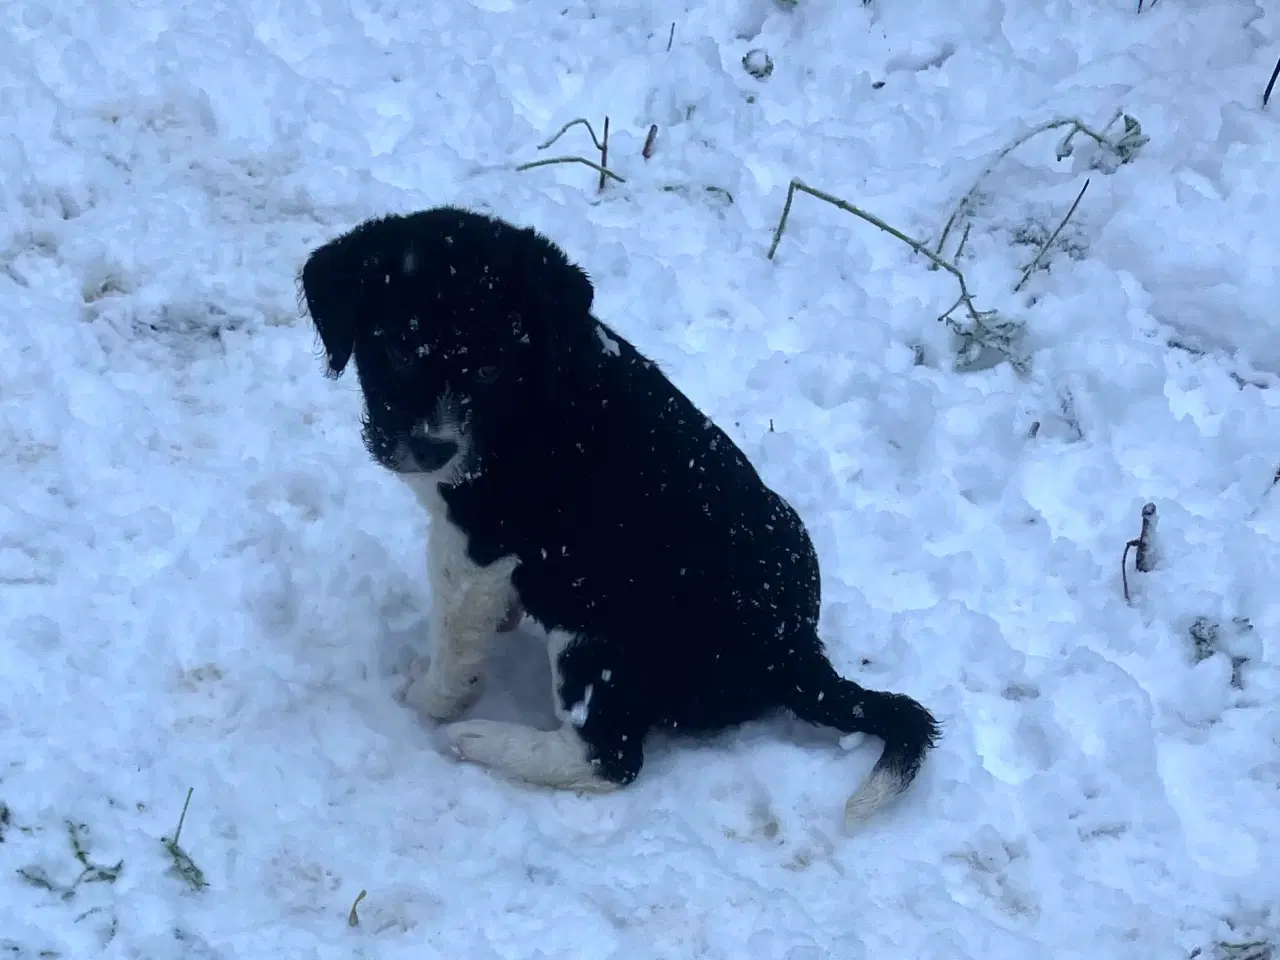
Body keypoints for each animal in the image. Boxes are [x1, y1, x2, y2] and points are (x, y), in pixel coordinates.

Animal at [299, 204, 942, 829]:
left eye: (489, 370)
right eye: (397, 351)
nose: (432, 449)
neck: (531, 395)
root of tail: (799, 657)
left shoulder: (477, 544)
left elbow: (455, 643)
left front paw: (424, 702)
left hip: (595, 631)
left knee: (608, 756)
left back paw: (481, 740)